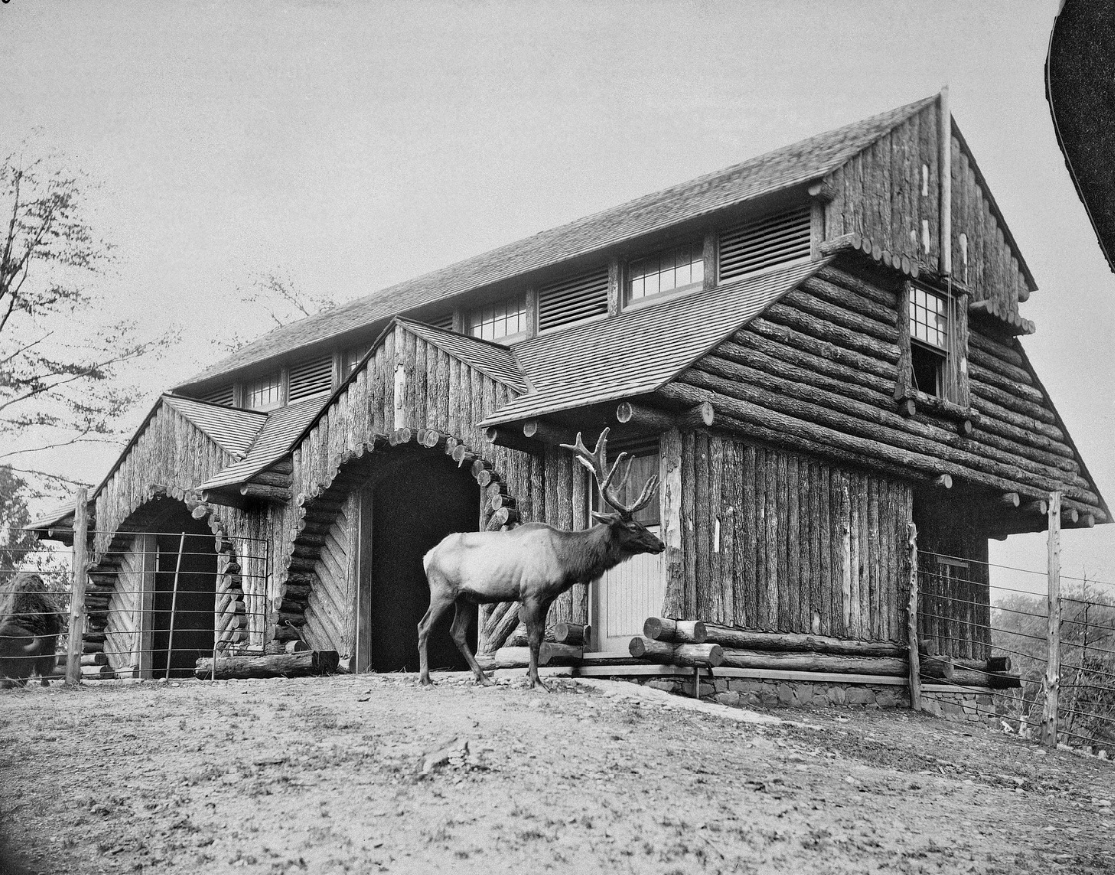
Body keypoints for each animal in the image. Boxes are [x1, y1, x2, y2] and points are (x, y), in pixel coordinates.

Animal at [419, 425, 660, 686]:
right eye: (634, 527)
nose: (661, 543)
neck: (565, 559)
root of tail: (427, 556)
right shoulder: (531, 592)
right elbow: (533, 639)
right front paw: (536, 681)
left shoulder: (547, 597)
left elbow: (541, 637)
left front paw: (533, 677)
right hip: (443, 590)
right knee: (424, 626)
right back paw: (425, 678)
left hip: (466, 597)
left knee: (458, 633)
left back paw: (483, 677)